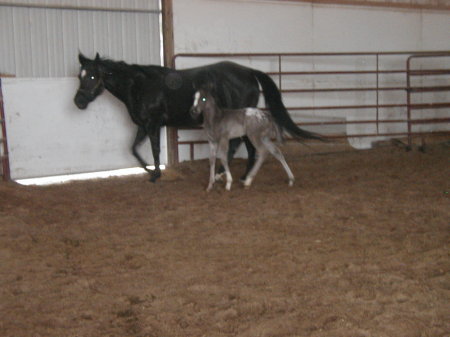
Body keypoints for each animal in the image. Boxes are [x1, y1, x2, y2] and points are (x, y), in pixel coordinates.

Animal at [74, 53, 322, 181]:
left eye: (93, 75)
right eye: (80, 75)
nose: (78, 102)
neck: (140, 85)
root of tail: (249, 72)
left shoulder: (153, 124)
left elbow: (154, 150)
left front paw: (155, 174)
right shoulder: (143, 126)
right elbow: (133, 149)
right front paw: (149, 172)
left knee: (245, 146)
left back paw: (237, 175)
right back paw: (233, 173)